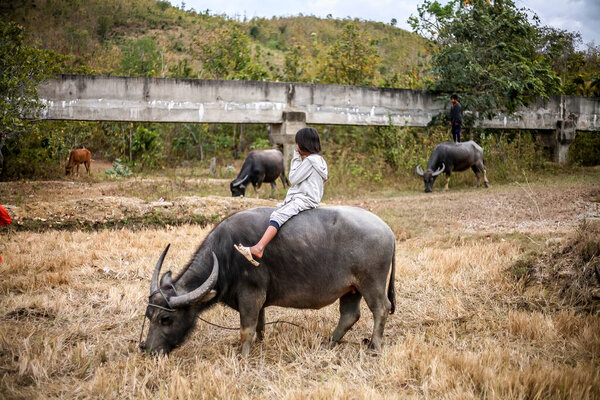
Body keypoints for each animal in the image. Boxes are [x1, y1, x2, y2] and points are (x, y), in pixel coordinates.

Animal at [138, 206, 396, 356]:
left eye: (166, 319)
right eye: (148, 316)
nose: (149, 350)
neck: (226, 255)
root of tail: (388, 230)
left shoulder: (250, 294)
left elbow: (246, 328)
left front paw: (243, 355)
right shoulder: (258, 297)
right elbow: (260, 324)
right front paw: (261, 343)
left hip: (371, 283)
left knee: (381, 309)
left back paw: (374, 346)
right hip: (351, 289)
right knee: (350, 315)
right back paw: (329, 343)